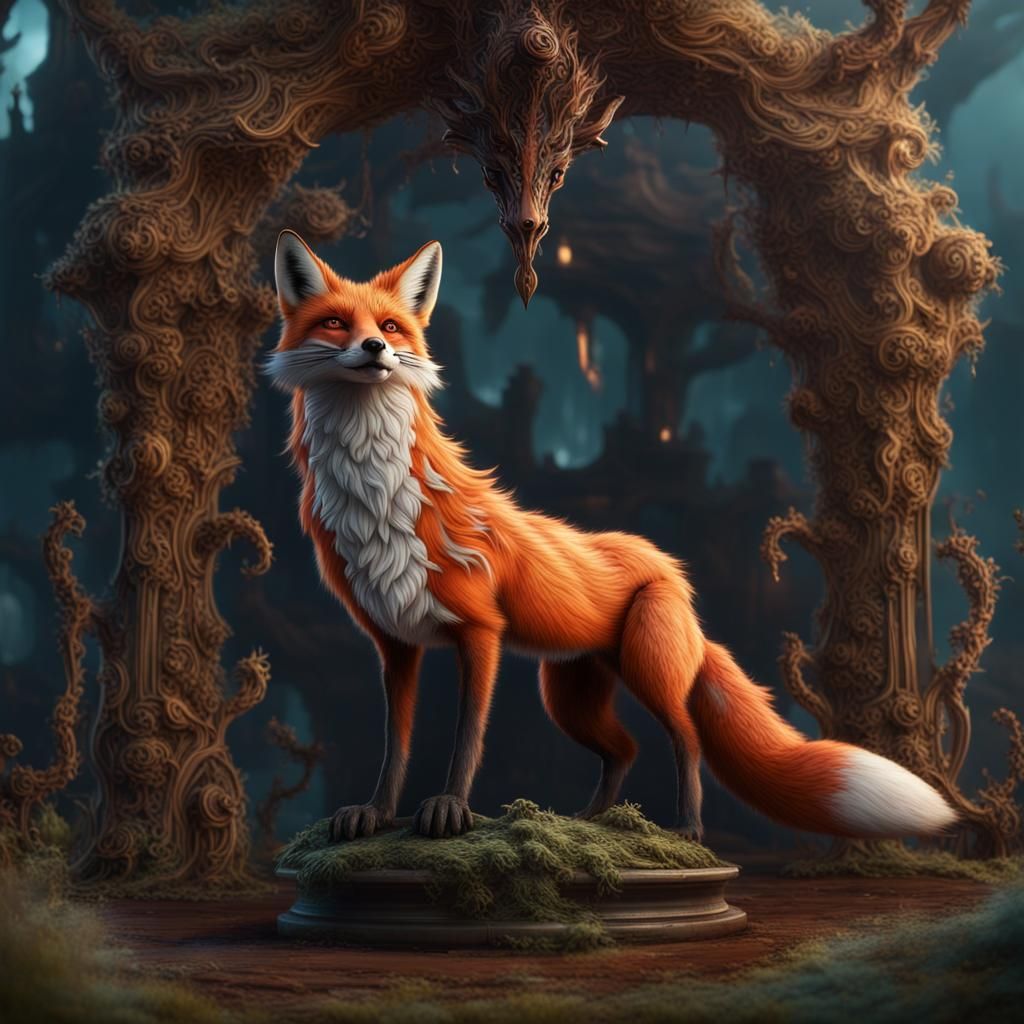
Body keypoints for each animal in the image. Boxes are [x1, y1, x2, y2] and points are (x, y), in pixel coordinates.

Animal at [264, 229, 957, 845]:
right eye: (335, 324)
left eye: (390, 327)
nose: (374, 349)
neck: (379, 504)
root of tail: (671, 567)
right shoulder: (396, 646)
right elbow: (395, 746)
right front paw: (376, 815)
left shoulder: (480, 635)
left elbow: (466, 740)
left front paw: (449, 810)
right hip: (567, 696)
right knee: (622, 750)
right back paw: (589, 823)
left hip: (647, 670)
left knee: (686, 738)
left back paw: (687, 829)